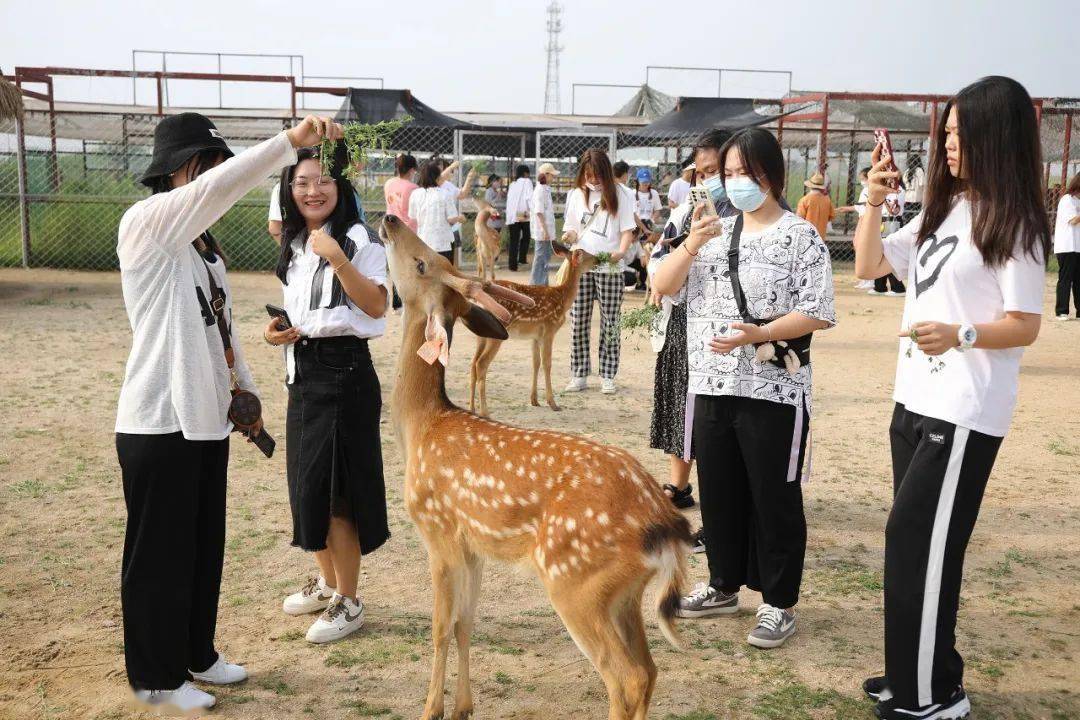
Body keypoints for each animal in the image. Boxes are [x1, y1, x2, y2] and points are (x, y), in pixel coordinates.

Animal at [468, 240, 596, 414]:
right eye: (587, 255)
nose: (599, 259)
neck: (562, 299)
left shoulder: (535, 336)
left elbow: (536, 363)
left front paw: (534, 400)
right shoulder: (549, 329)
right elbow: (547, 364)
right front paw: (553, 403)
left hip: (480, 334)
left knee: (473, 363)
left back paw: (471, 408)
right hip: (496, 331)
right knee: (481, 364)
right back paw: (485, 412)